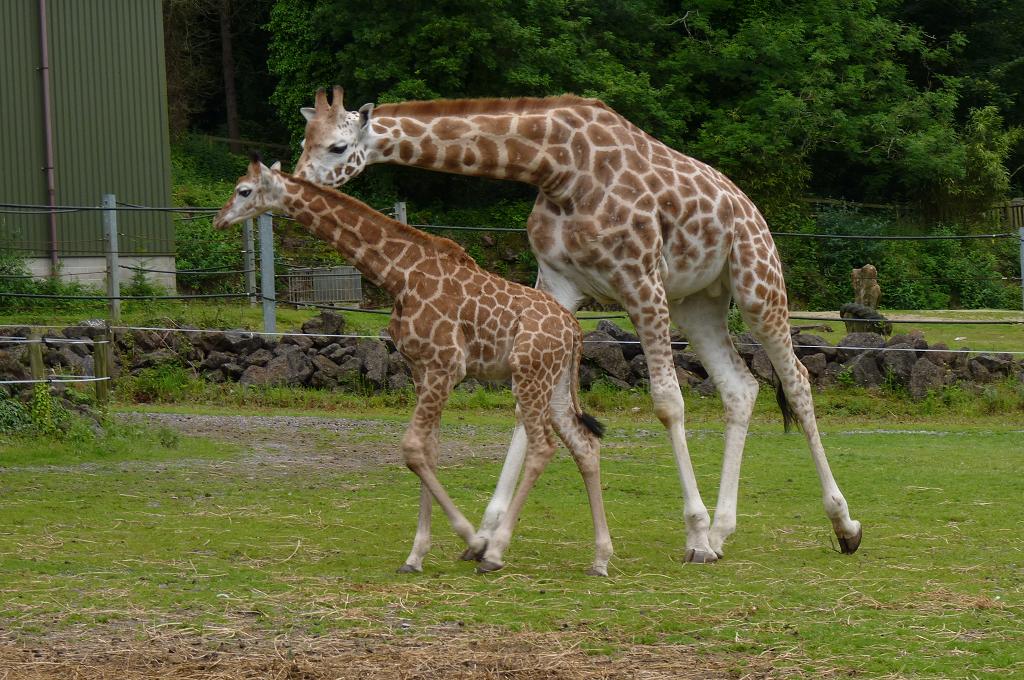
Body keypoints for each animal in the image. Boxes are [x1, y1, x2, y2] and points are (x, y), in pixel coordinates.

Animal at [214, 158, 612, 575]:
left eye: (243, 190)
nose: (219, 219)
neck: (398, 274)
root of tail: (574, 329)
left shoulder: (446, 365)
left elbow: (411, 448)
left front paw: (472, 541)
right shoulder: (421, 369)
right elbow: (429, 451)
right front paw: (416, 555)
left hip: (530, 374)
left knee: (543, 446)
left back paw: (495, 551)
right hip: (554, 382)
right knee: (584, 446)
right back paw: (599, 559)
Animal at [294, 87, 863, 564]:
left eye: (338, 147)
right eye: (304, 141)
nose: (299, 185)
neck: (557, 165)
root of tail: (752, 209)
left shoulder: (640, 282)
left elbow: (668, 403)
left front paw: (695, 536)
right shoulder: (557, 282)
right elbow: (526, 410)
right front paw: (488, 534)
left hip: (757, 285)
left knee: (797, 381)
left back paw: (842, 526)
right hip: (697, 303)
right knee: (740, 388)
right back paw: (726, 530)